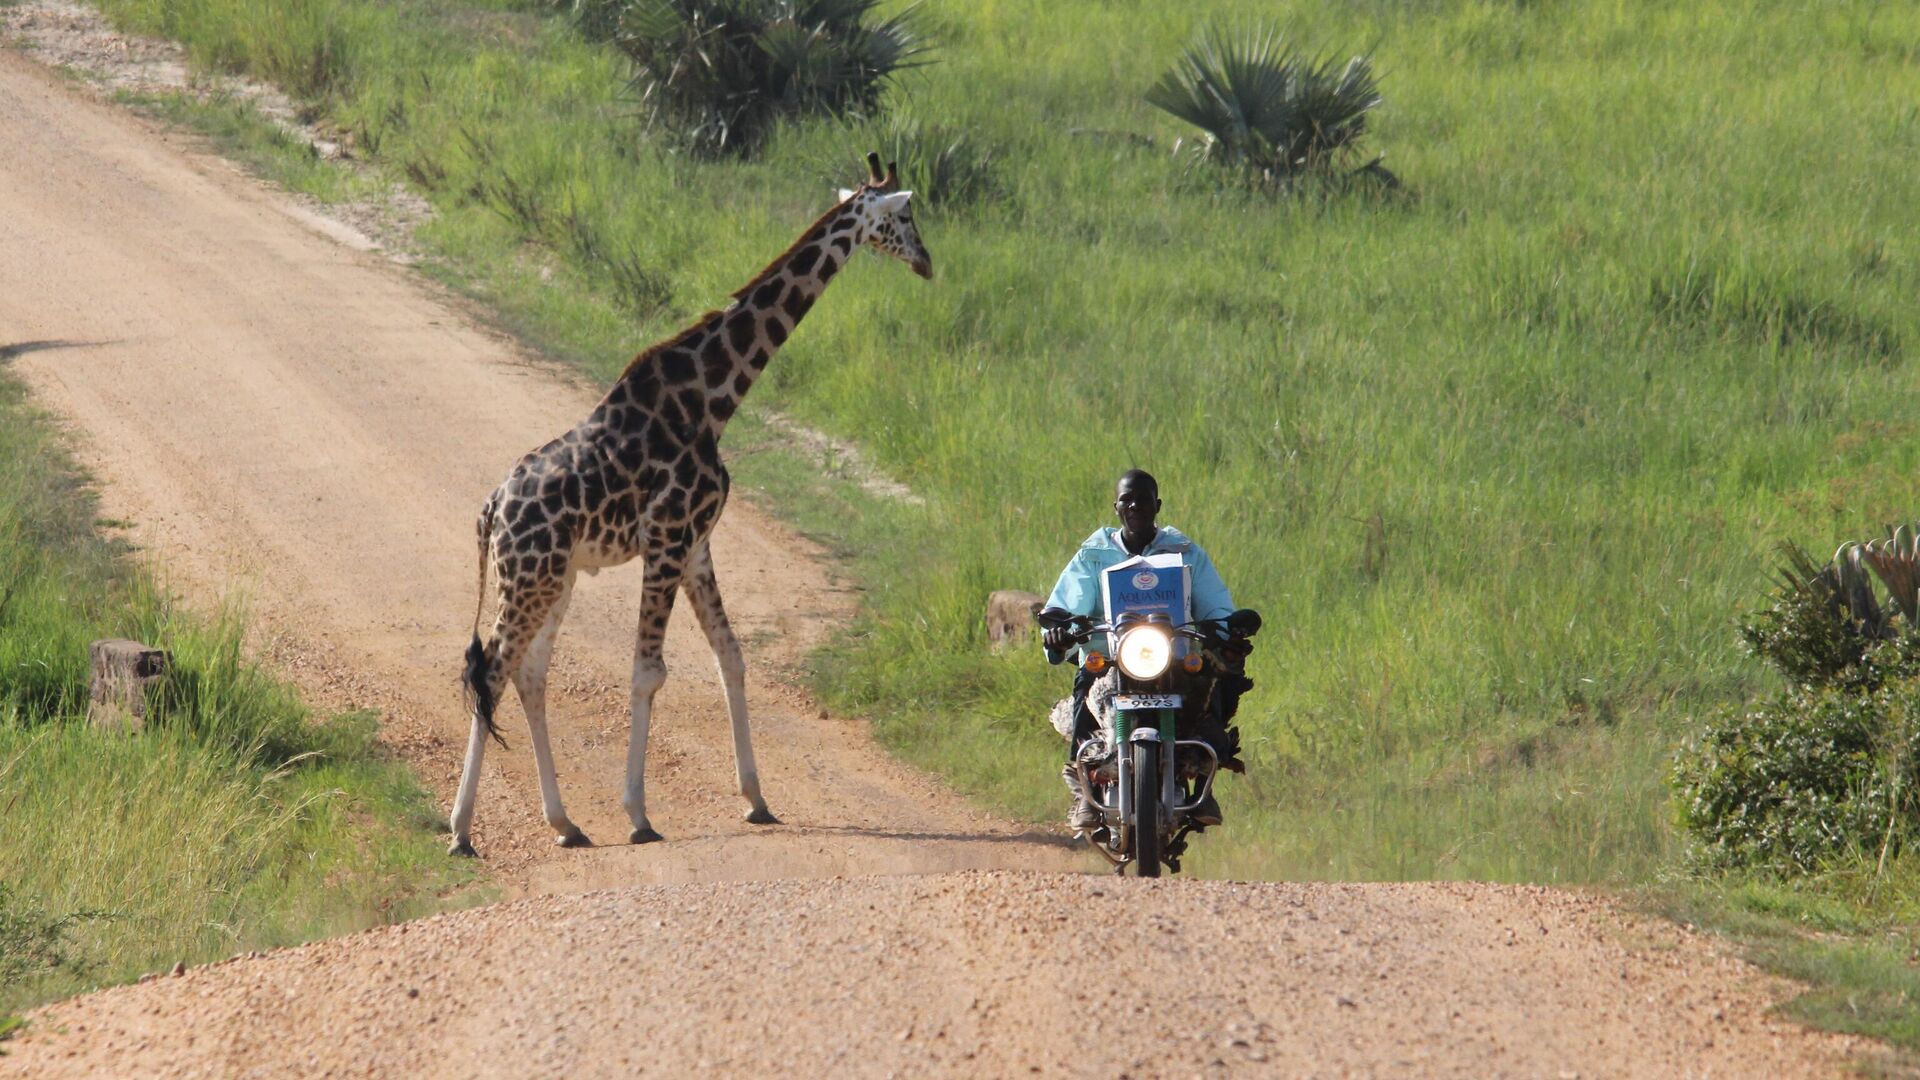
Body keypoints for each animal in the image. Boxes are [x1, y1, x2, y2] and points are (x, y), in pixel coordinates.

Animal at [449, 153, 929, 857]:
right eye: (904, 216)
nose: (927, 262)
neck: (714, 399)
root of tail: (492, 509)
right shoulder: (668, 538)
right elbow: (648, 672)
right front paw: (639, 814)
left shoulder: (698, 544)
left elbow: (731, 655)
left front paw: (757, 799)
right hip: (531, 578)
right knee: (491, 673)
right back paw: (460, 831)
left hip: (554, 577)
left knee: (529, 673)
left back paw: (566, 824)